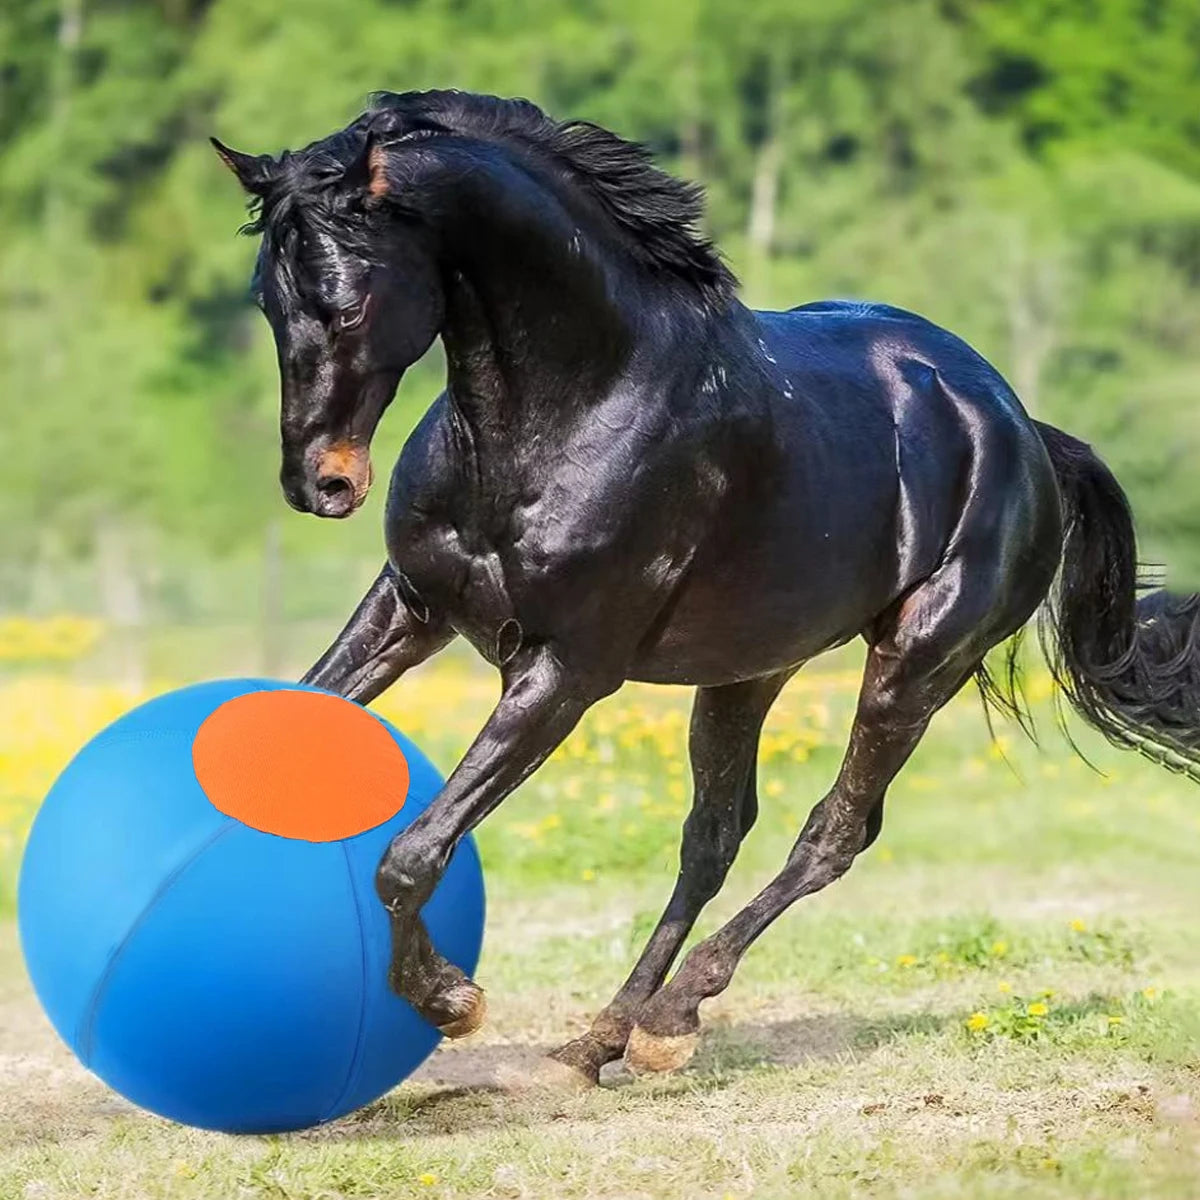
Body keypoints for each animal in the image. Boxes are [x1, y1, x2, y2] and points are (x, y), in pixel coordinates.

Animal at [213, 89, 1200, 1084]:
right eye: (267, 299)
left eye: (345, 303)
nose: (320, 484)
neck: (574, 402)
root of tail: (1026, 431)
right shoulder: (413, 608)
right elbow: (287, 736)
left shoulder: (563, 671)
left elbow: (412, 853)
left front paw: (451, 1000)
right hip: (746, 671)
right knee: (716, 834)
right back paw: (603, 1037)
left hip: (919, 663)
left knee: (834, 832)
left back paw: (669, 1017)